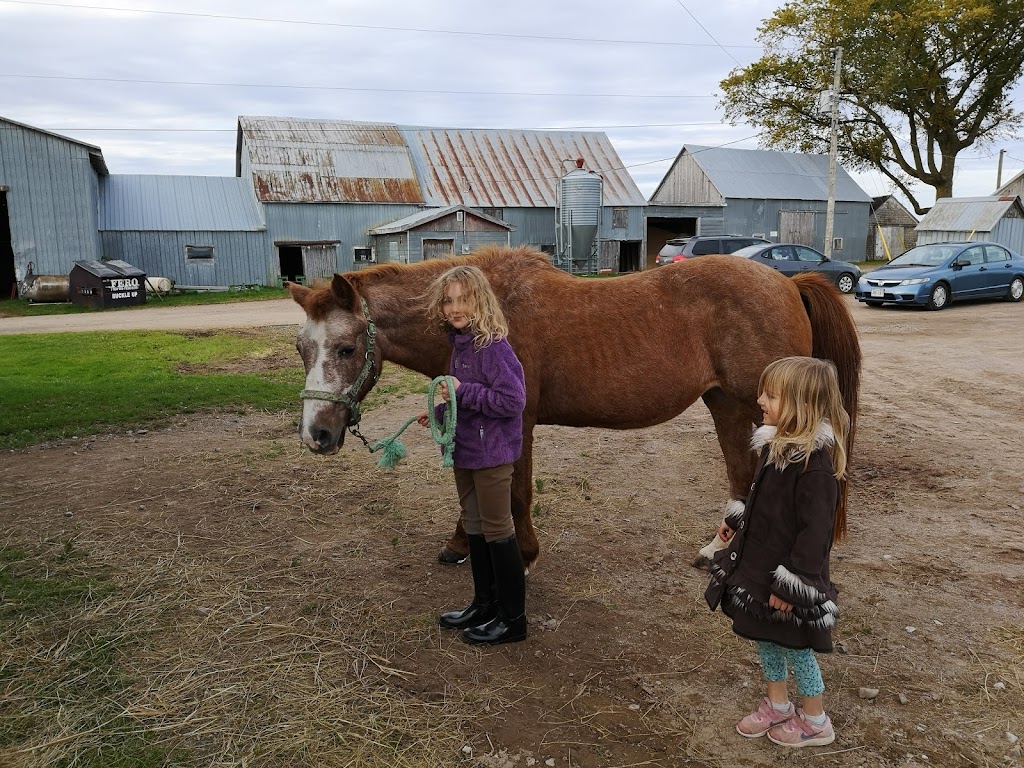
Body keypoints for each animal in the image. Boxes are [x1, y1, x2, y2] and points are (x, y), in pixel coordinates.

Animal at [284, 246, 860, 573]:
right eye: (300, 348)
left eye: (346, 348)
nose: (316, 435)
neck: (484, 316)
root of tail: (787, 282)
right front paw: (458, 544)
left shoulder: (517, 421)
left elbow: (515, 492)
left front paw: (523, 557)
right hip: (729, 405)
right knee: (744, 478)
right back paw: (716, 554)